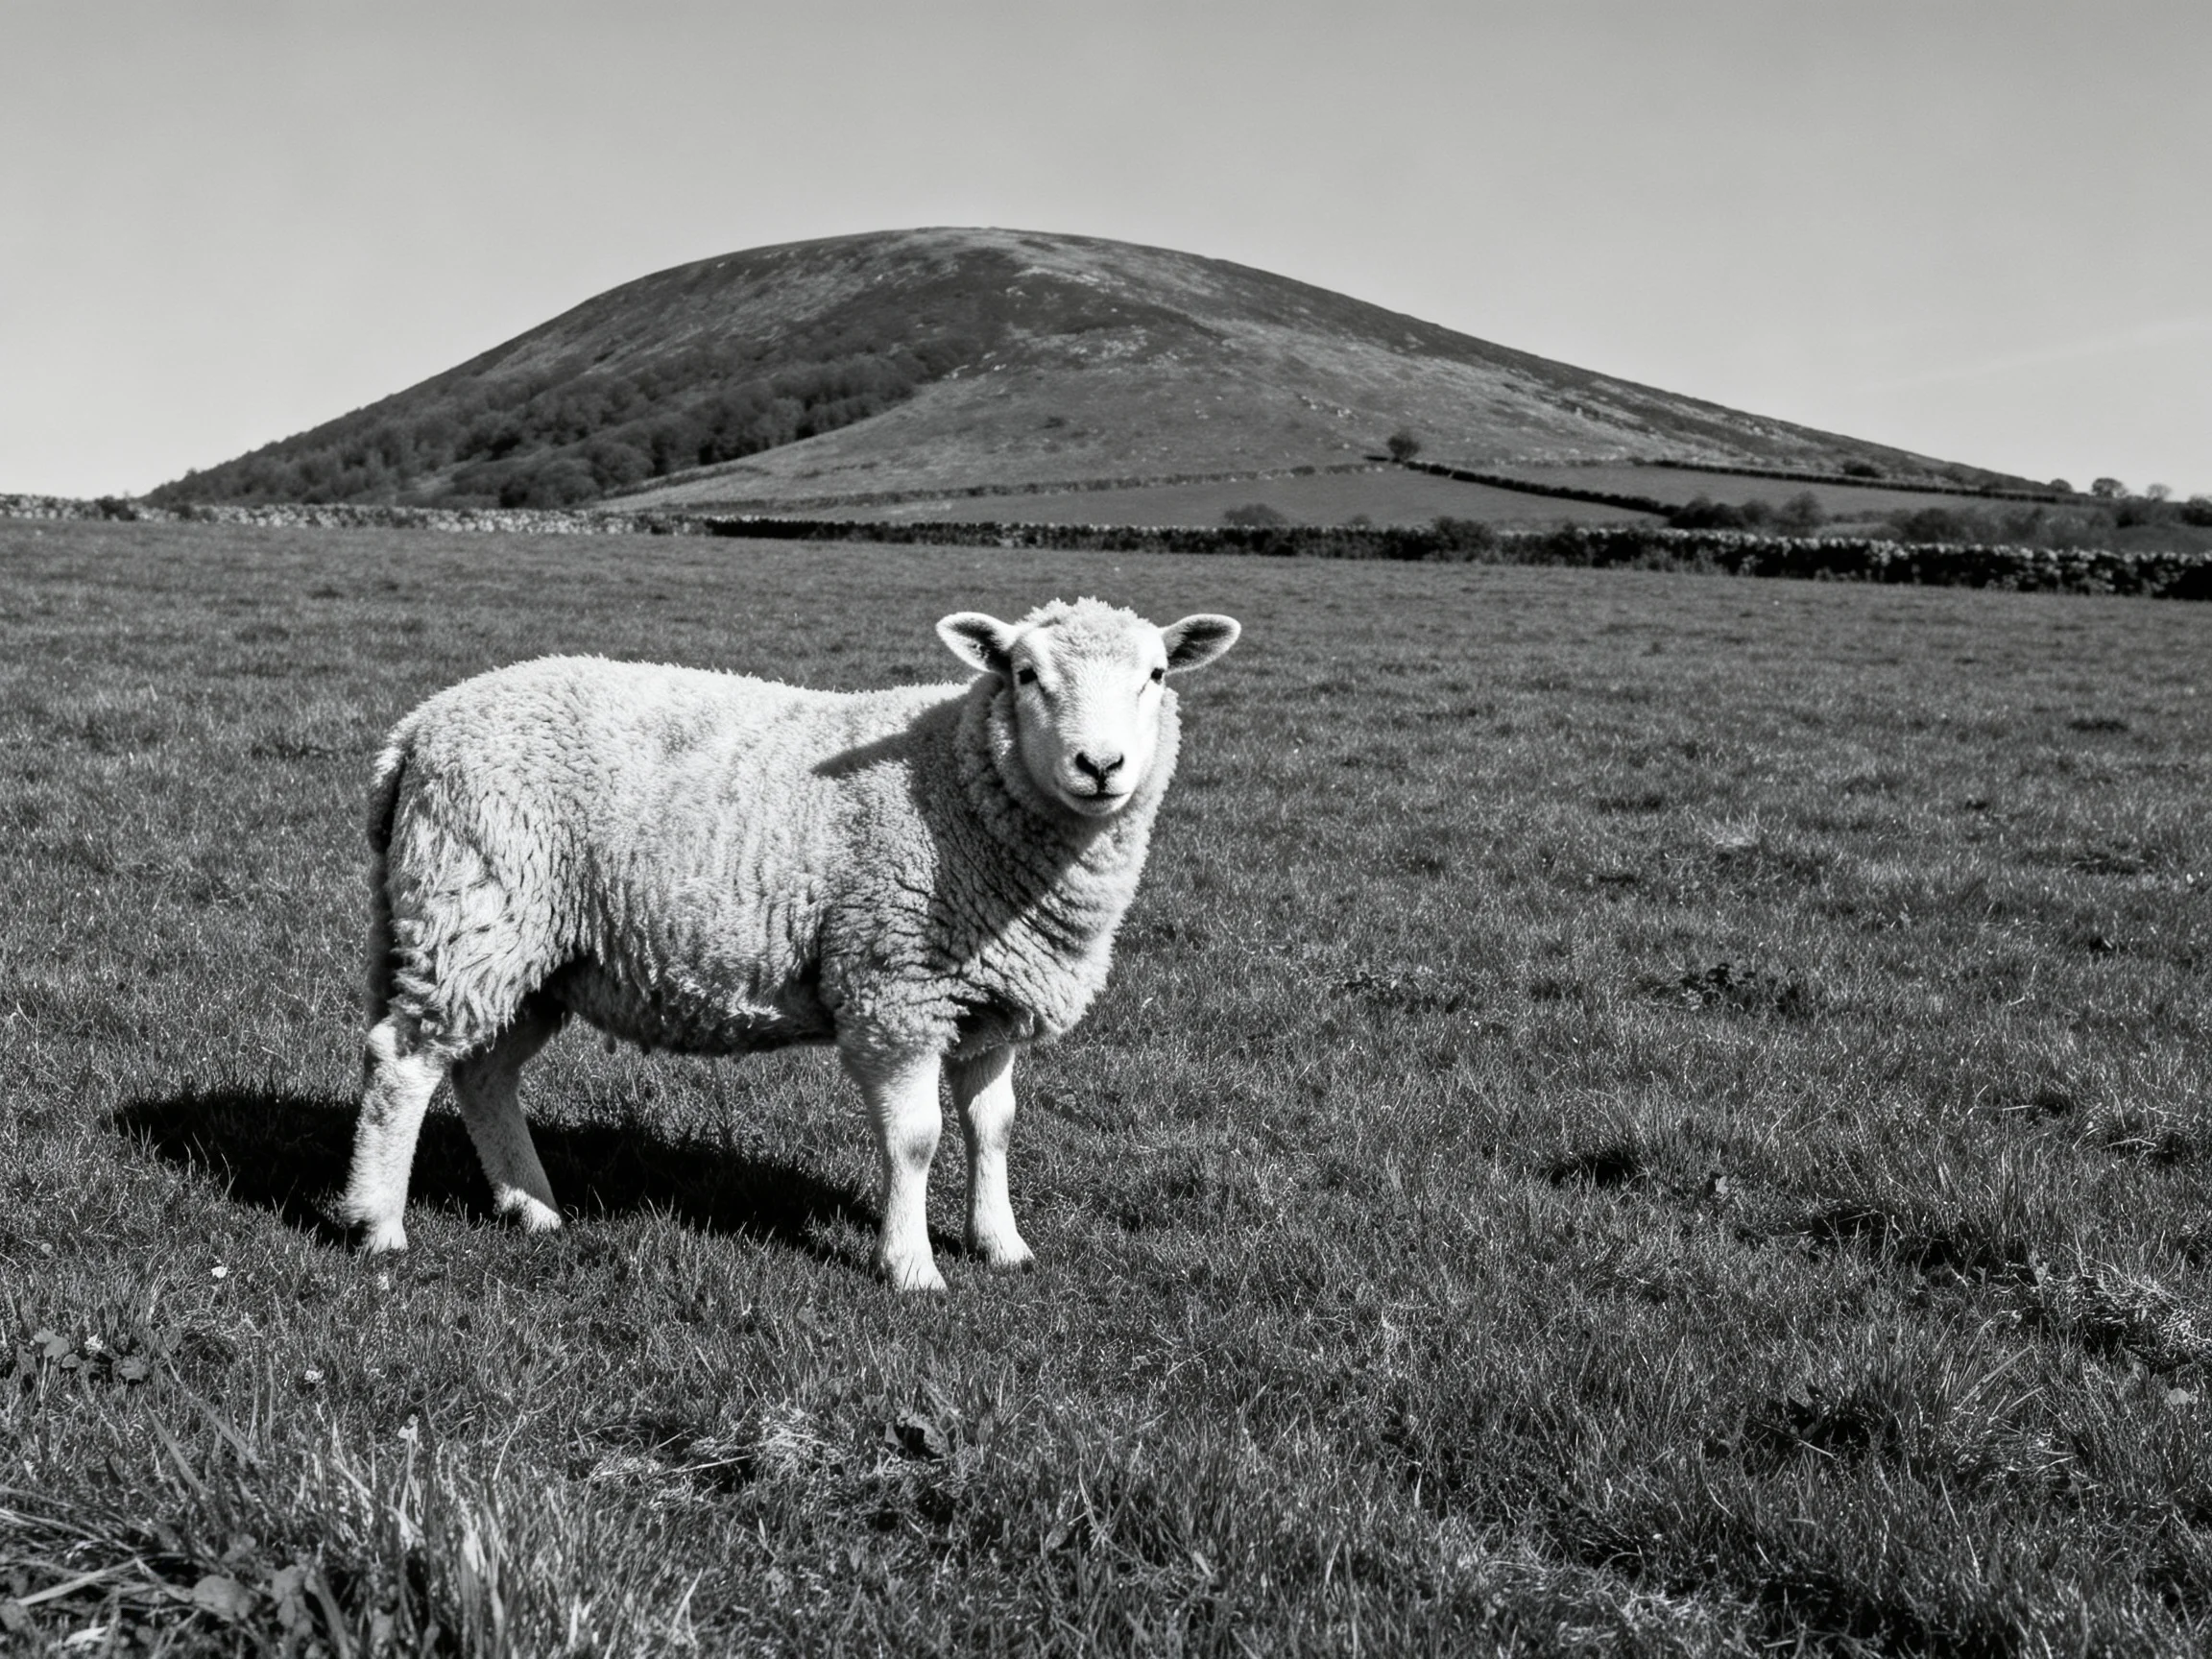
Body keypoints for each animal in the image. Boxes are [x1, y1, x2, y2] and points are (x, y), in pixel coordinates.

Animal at [341, 598, 1242, 1290]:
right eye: (1024, 674)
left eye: (1157, 676)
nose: (1101, 765)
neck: (955, 782)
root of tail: (416, 730)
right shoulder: (894, 987)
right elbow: (917, 1139)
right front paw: (911, 1267)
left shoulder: (987, 1000)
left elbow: (995, 1127)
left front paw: (1002, 1246)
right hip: (475, 908)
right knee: (403, 1063)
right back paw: (378, 1224)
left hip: (539, 954)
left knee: (483, 1073)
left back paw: (532, 1208)